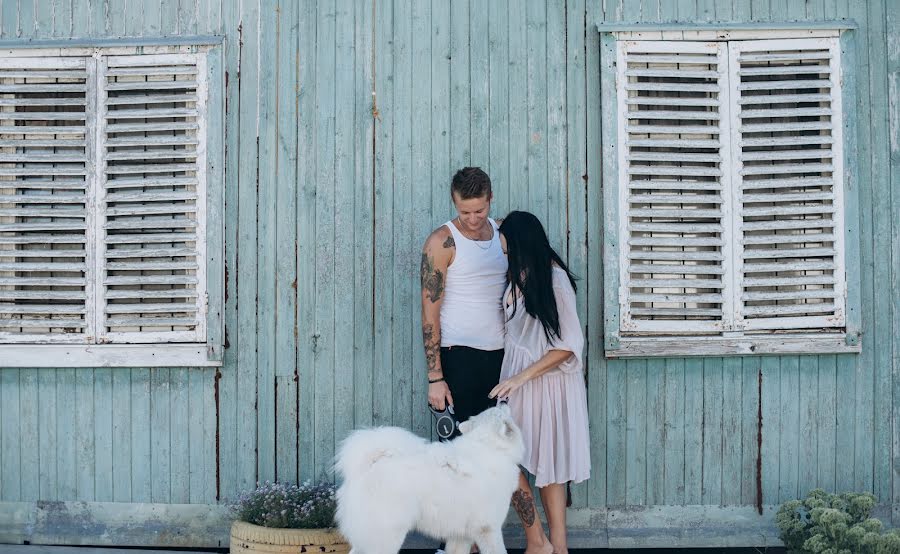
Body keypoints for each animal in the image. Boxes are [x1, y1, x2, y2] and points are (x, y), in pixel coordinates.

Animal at [334, 402, 524, 552]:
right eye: (499, 410)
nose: (503, 400)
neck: (489, 447)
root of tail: (369, 464)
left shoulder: (461, 536)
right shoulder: (488, 529)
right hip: (387, 536)